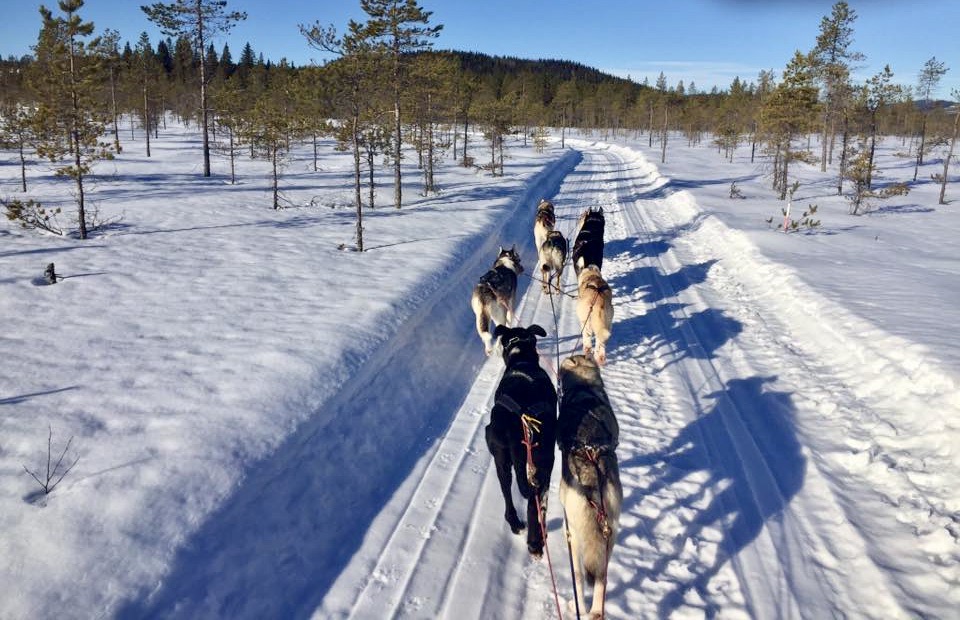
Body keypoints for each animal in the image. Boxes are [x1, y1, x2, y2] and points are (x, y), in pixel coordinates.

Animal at [484, 324, 560, 556]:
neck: (521, 360)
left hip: (501, 457)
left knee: (508, 495)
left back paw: (517, 524)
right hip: (542, 459)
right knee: (534, 501)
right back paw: (535, 541)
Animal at [556, 354, 624, 620]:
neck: (584, 388)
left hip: (574, 536)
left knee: (578, 577)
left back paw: (579, 607)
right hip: (610, 536)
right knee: (601, 578)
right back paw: (595, 610)